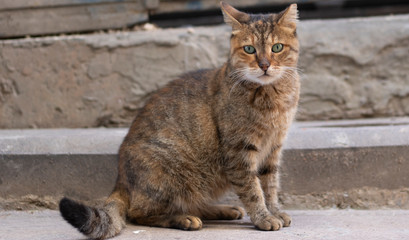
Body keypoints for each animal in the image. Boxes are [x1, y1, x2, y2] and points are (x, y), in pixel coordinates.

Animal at [58, 1, 300, 238]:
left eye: (277, 47)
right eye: (249, 49)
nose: (264, 65)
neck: (273, 97)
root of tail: (121, 180)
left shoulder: (273, 149)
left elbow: (270, 186)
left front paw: (274, 211)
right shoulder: (239, 152)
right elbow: (253, 190)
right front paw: (264, 217)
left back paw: (223, 210)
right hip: (174, 173)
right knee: (140, 212)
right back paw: (184, 219)